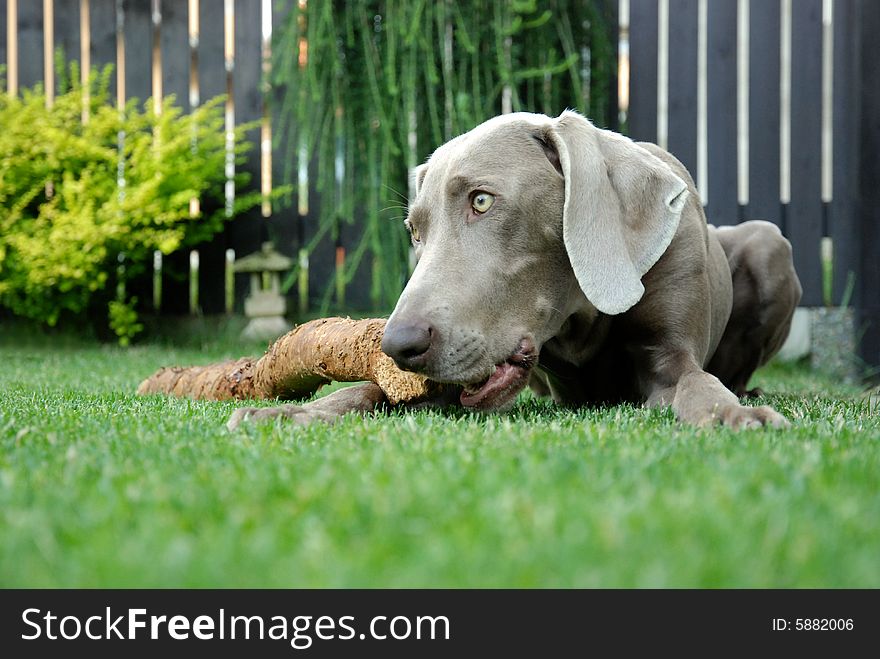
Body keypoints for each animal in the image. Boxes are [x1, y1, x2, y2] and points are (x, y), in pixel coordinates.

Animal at [229, 112, 804, 434]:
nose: (397, 344)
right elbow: (371, 392)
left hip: (769, 242)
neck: (581, 315)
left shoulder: (670, 357)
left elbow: (696, 383)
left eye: (482, 200)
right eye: (416, 231)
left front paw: (732, 414)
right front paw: (291, 413)